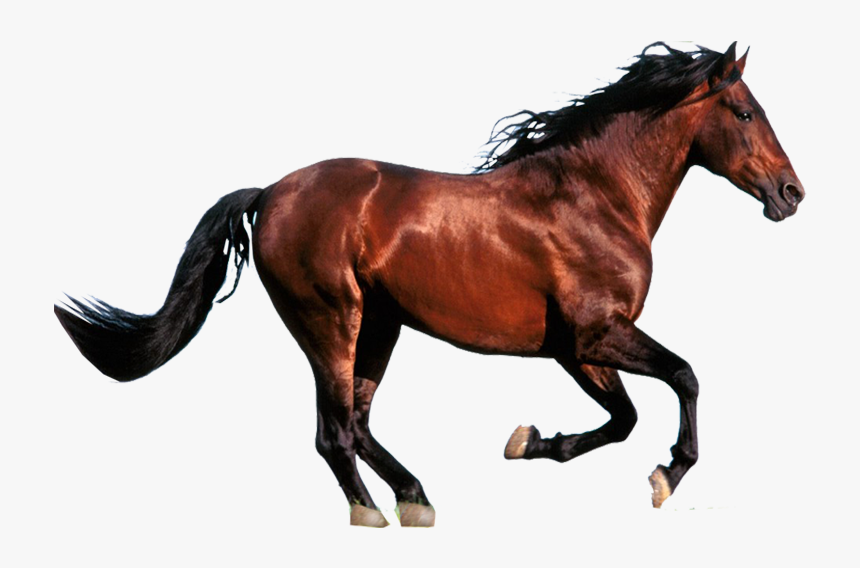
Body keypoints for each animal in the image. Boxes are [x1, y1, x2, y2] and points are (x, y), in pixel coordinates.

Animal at [54, 42, 804, 527]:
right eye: (745, 112)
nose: (792, 193)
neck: (594, 195)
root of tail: (269, 194)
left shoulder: (575, 349)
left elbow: (623, 418)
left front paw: (529, 441)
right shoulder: (596, 333)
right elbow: (683, 377)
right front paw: (665, 477)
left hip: (380, 326)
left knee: (357, 421)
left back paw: (416, 498)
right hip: (330, 321)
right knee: (334, 432)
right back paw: (374, 516)